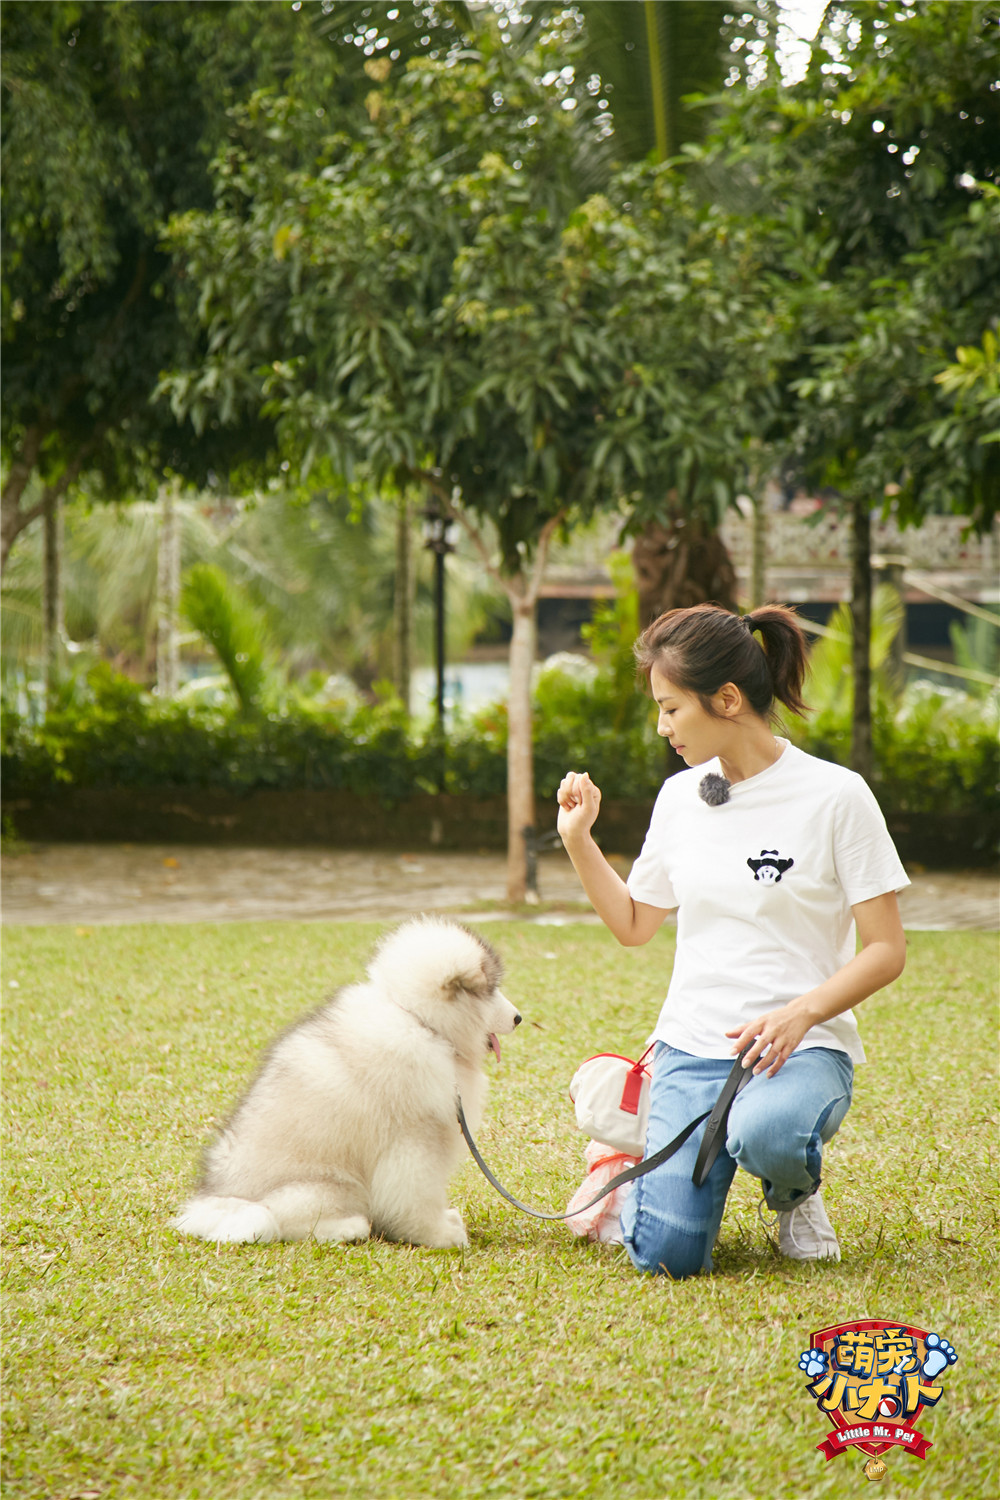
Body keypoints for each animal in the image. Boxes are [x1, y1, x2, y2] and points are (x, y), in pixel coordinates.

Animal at [173, 918, 521, 1248]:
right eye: (492, 989)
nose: (519, 1018)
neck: (417, 1019)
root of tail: (215, 1204)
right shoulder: (412, 1142)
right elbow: (417, 1197)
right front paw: (438, 1235)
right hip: (328, 1186)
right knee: (279, 1222)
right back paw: (349, 1227)